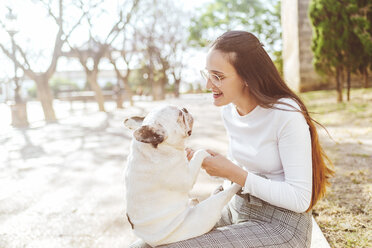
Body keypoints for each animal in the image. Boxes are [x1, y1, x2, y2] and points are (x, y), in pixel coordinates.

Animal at [124, 105, 241, 247]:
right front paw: (205, 154)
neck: (155, 149)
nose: (185, 109)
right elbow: (199, 153)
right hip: (206, 212)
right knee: (224, 196)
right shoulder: (187, 178)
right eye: (180, 115)